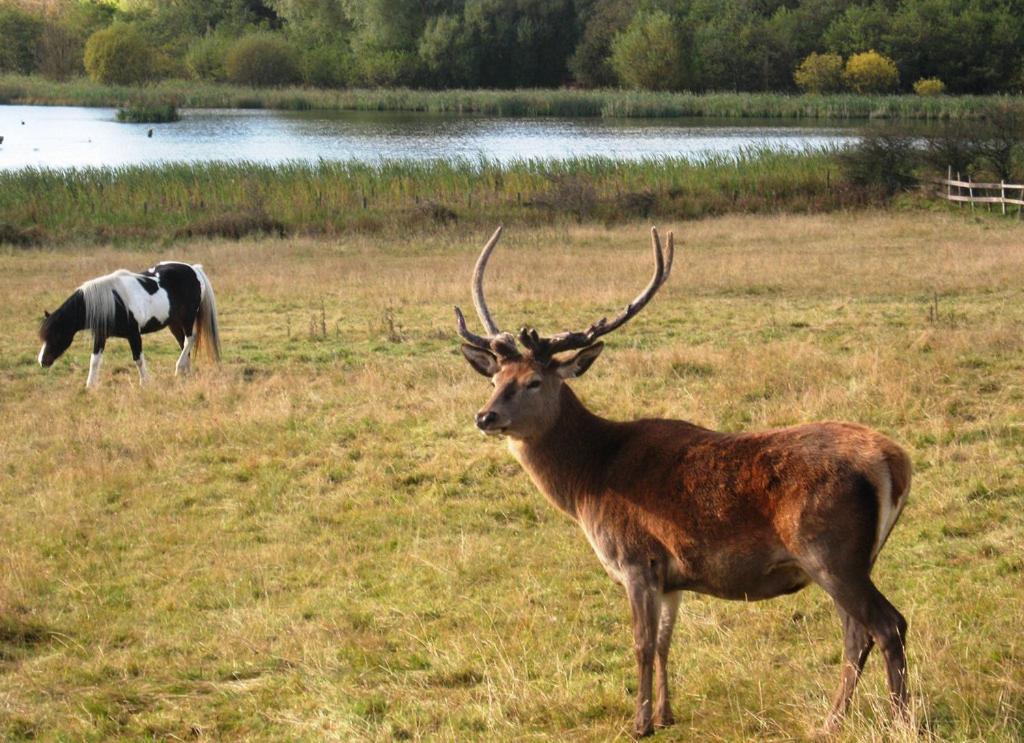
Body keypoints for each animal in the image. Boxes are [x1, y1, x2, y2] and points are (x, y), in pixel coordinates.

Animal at [38, 264, 221, 390]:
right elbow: (94, 360)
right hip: (174, 323)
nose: (42, 361)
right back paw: (185, 372)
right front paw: (89, 386)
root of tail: (194, 269)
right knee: (184, 343)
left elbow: (138, 359)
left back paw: (178, 369)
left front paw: (145, 382)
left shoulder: (134, 334)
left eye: (56, 335)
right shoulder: (101, 335)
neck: (113, 302)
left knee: (190, 339)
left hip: (187, 319)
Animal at [456, 227, 913, 740]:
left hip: (830, 552)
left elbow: (640, 643)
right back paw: (832, 721)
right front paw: (665, 714)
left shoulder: (635, 558)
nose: (485, 416)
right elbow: (664, 642)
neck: (588, 480)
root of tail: (895, 461)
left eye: (534, 381)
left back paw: (900, 720)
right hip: (849, 560)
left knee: (887, 625)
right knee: (857, 634)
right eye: (494, 378)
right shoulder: (672, 574)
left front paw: (639, 723)